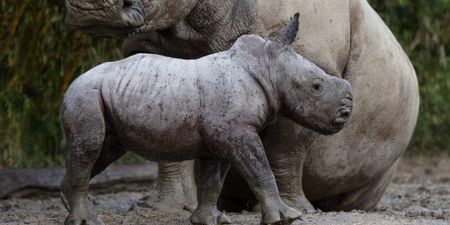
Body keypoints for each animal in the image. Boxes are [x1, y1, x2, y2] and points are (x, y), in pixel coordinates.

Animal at [65, 0, 420, 213]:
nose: (90, 11)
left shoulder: (310, 56)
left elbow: (286, 146)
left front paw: (296, 210)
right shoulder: (148, 45)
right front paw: (167, 209)